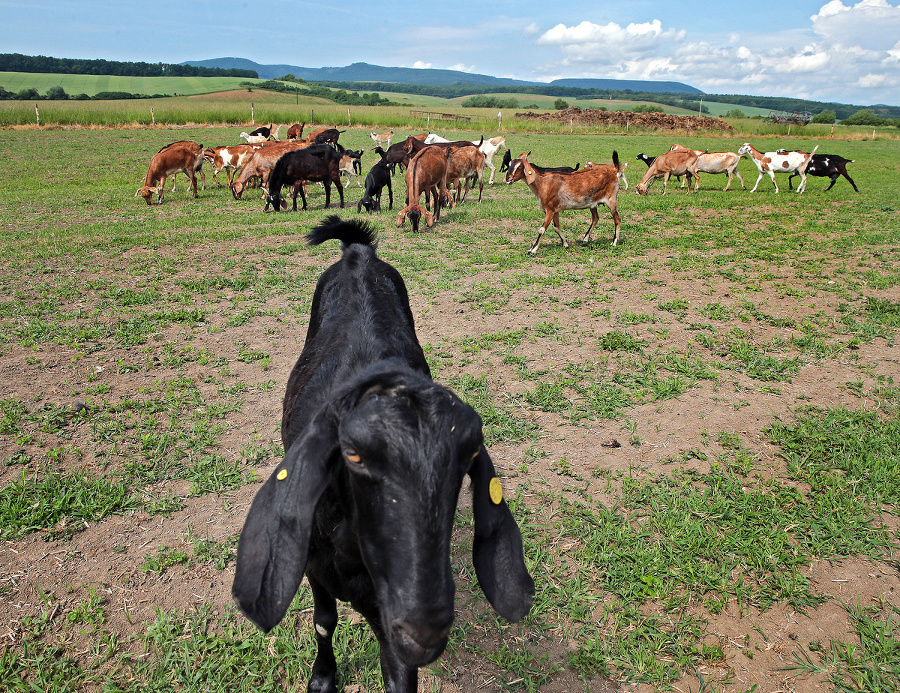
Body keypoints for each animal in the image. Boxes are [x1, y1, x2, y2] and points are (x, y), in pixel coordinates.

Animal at [232, 216, 536, 692]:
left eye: (468, 459)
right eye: (353, 454)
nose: (424, 628)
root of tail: (359, 254)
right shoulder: (315, 569)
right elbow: (323, 621)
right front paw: (323, 677)